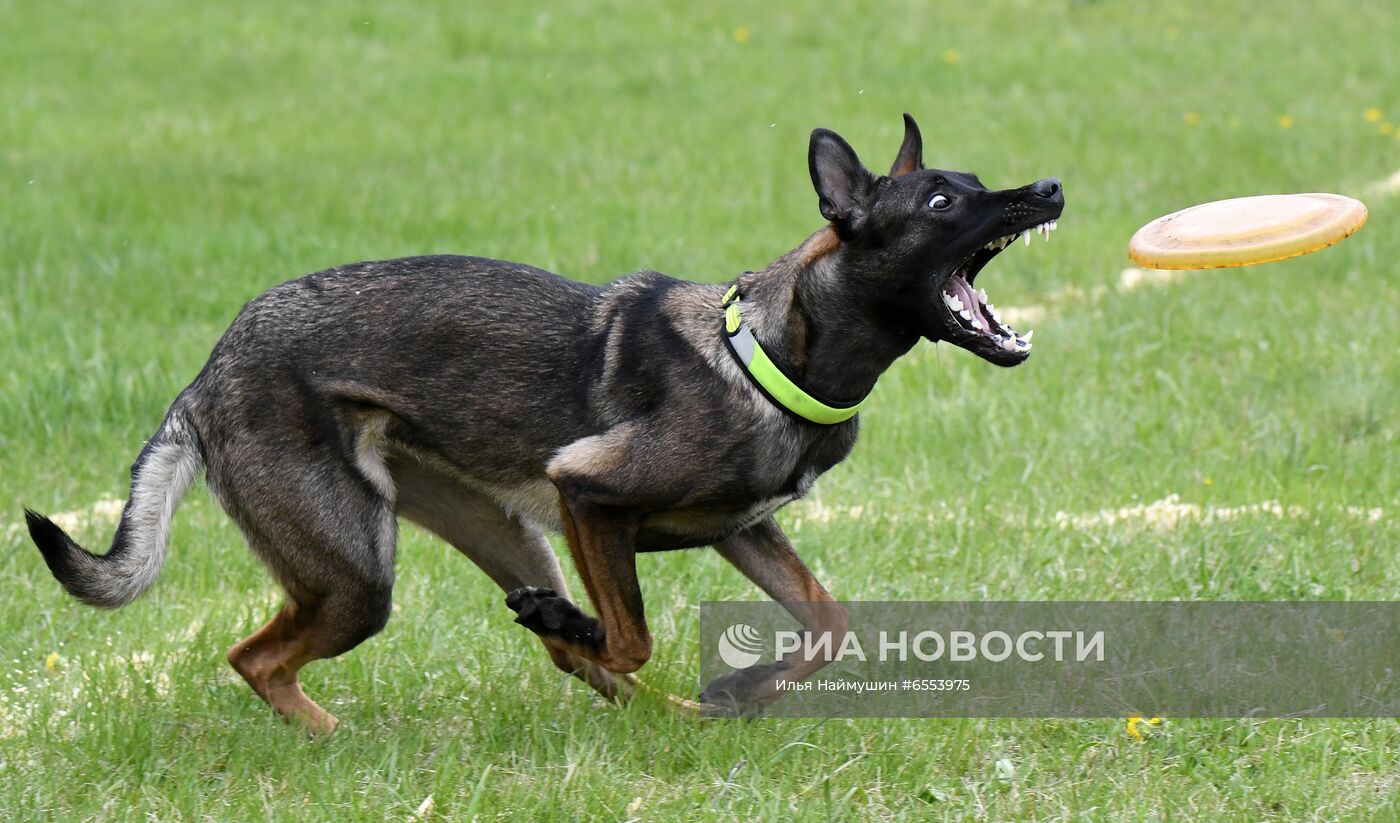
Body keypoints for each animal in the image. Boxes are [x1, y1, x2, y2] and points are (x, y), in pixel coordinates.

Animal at [24, 112, 1058, 727]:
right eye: (942, 199)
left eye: (976, 180)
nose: (1049, 188)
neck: (766, 355)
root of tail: (209, 373)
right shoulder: (587, 493)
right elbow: (636, 630)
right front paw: (676, 664)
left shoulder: (742, 529)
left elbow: (830, 621)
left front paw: (737, 687)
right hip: (361, 570)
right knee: (257, 656)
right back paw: (334, 732)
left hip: (503, 534)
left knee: (562, 651)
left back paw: (632, 686)